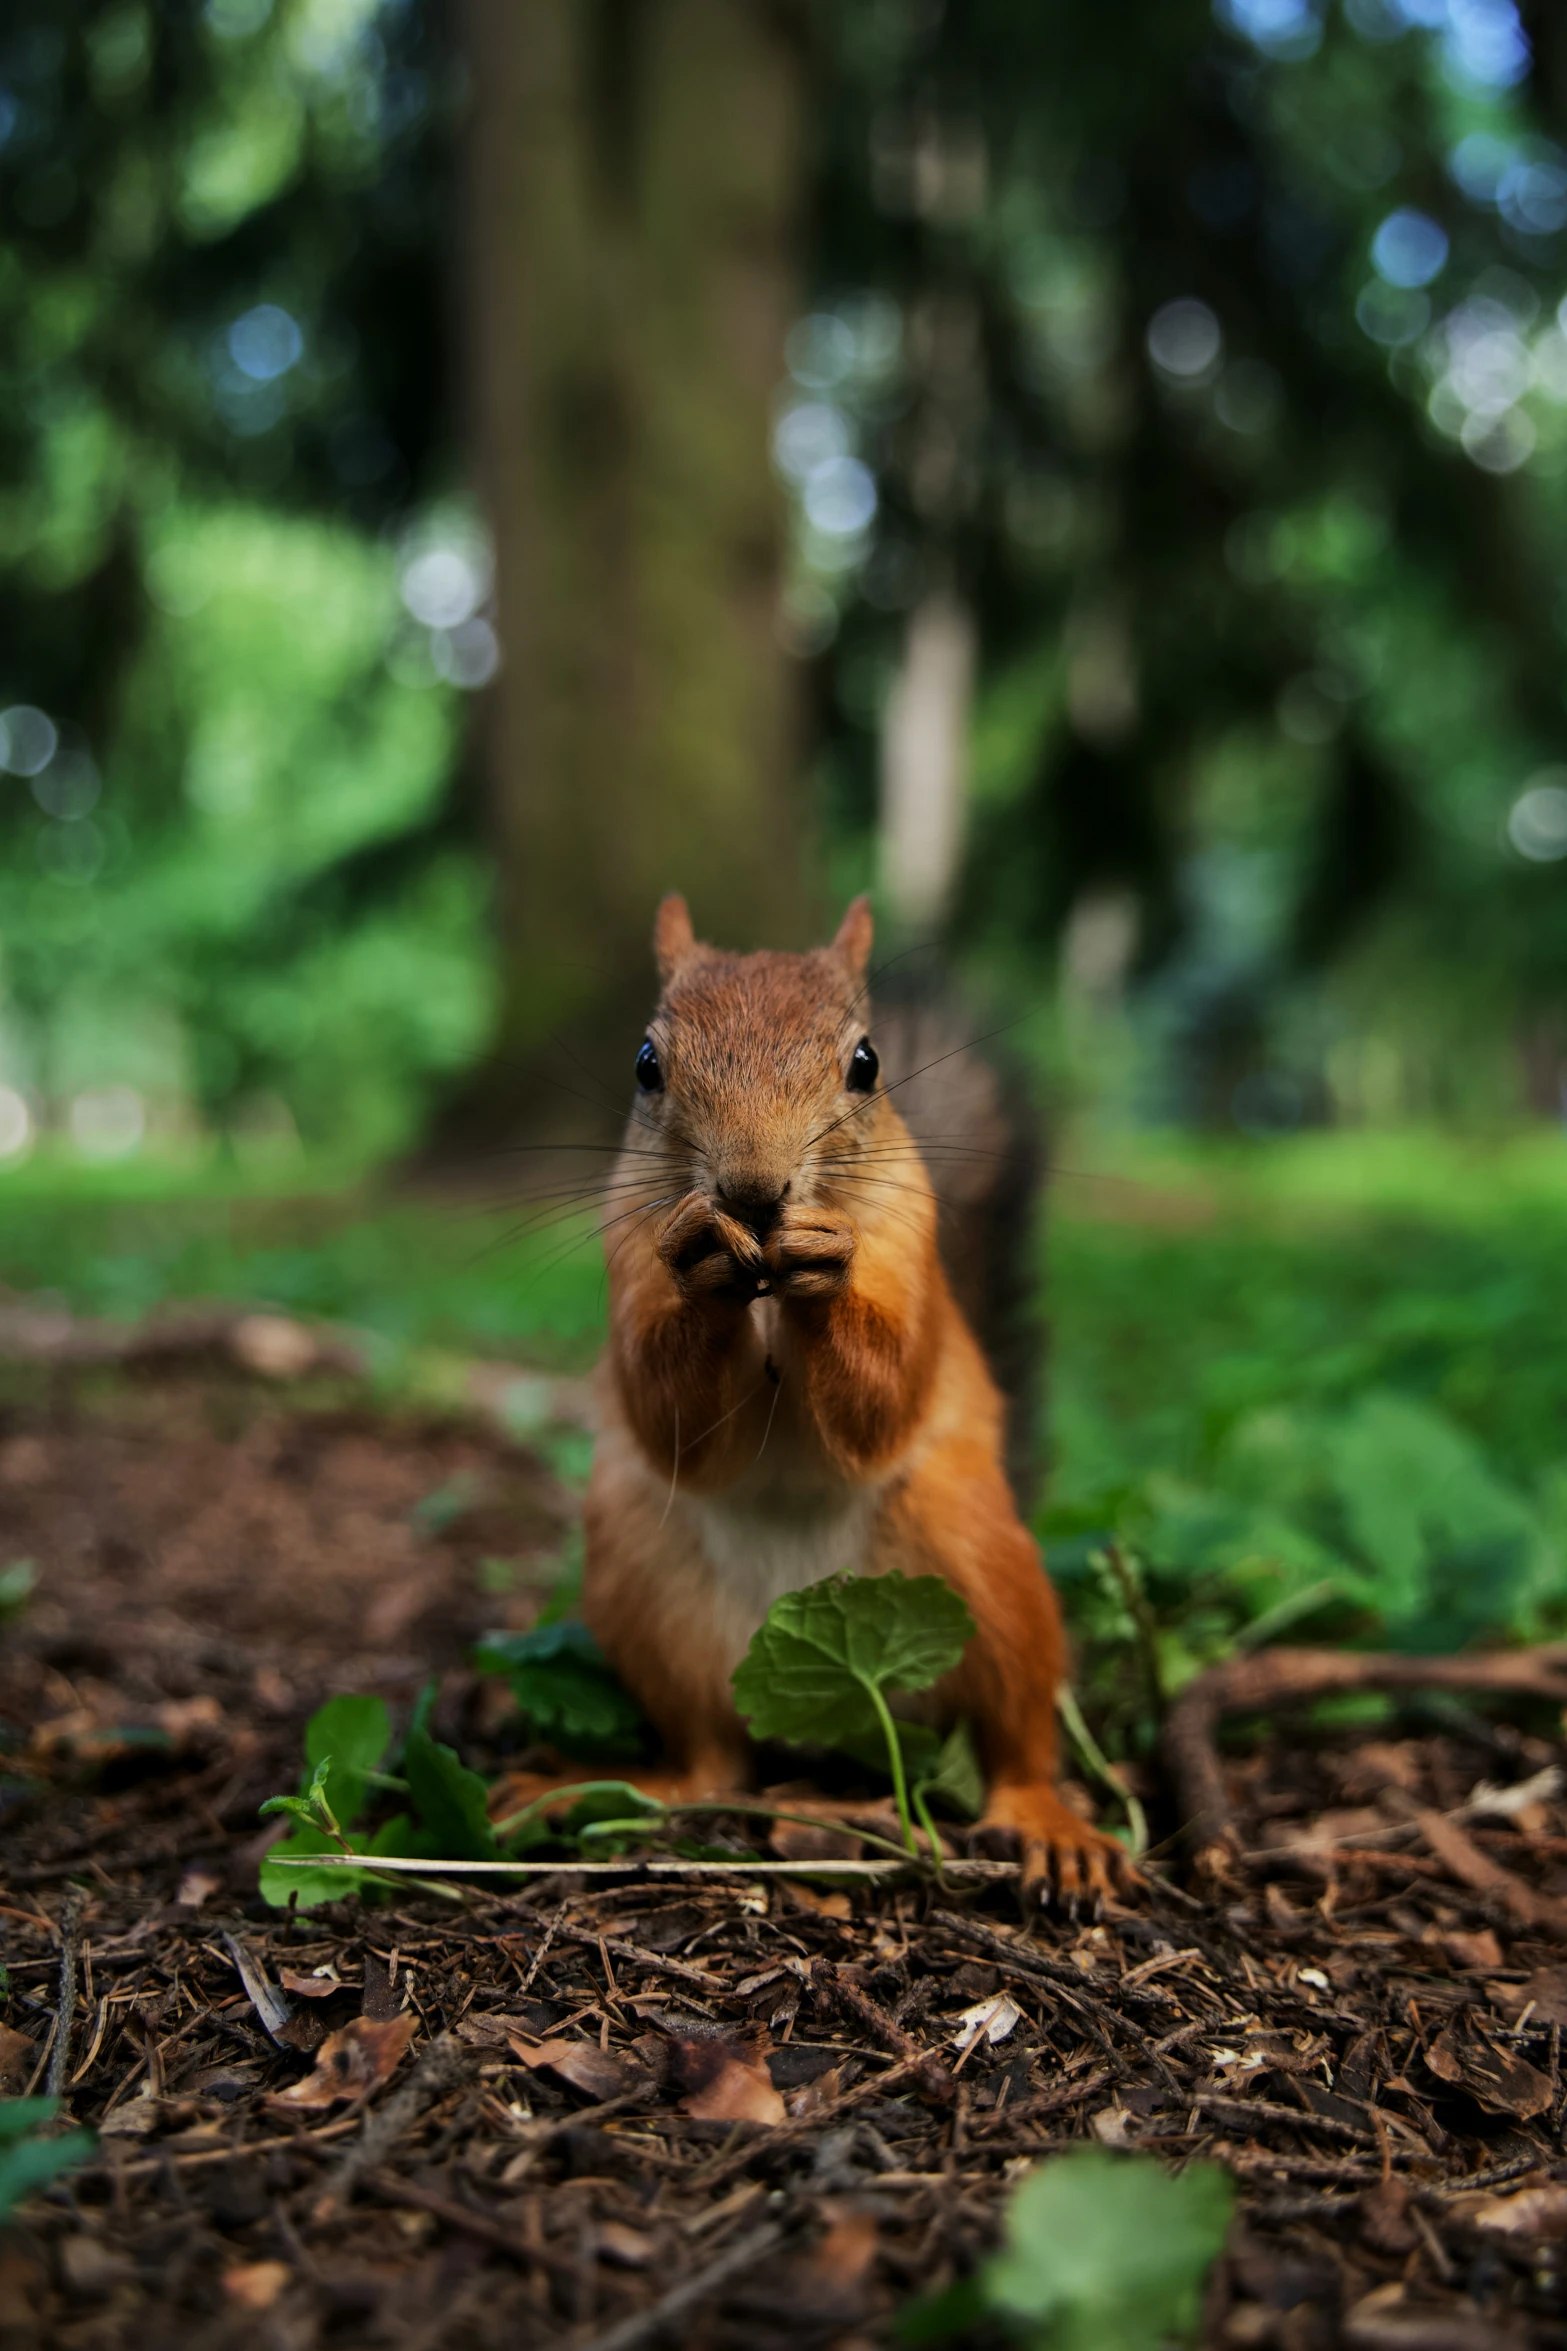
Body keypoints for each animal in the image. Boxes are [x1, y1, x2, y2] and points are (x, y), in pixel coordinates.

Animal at [491, 888, 1127, 1899]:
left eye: (866, 1063)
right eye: (645, 1064)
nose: (754, 1190)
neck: (763, 1288)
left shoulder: (910, 1244)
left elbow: (885, 1395)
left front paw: (825, 1266)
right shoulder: (627, 1248)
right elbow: (669, 1416)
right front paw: (702, 1259)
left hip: (987, 1577)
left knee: (1016, 1740)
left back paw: (1047, 1823)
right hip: (646, 1592)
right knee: (712, 1763)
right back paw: (587, 1788)